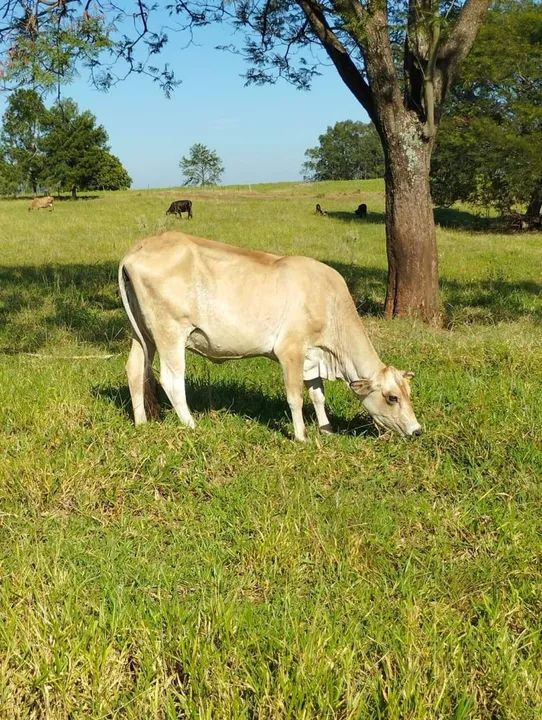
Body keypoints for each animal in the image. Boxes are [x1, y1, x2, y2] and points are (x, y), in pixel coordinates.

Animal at [118, 232, 422, 441]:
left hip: (142, 334)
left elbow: (318, 395)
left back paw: (141, 422)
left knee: (135, 370)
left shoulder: (312, 356)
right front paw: (301, 436)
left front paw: (327, 429)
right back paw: (192, 425)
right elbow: (295, 396)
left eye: (409, 394)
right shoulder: (291, 350)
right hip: (170, 331)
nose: (417, 430)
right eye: (392, 397)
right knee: (172, 380)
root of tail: (138, 249)